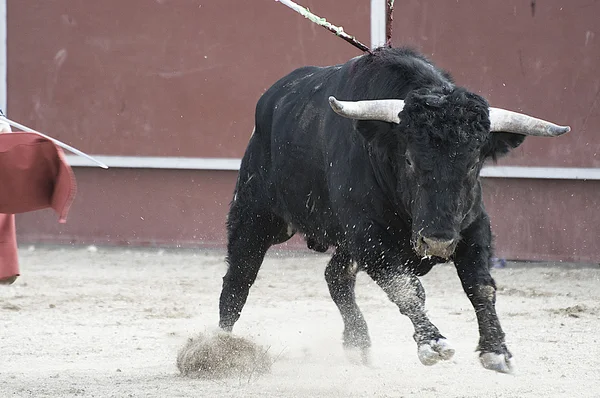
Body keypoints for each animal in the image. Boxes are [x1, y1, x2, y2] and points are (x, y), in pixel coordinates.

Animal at [218, 46, 568, 374]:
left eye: (473, 164)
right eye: (410, 159)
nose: (437, 242)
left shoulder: (473, 226)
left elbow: (480, 286)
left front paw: (496, 350)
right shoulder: (369, 238)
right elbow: (407, 289)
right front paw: (432, 343)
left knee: (336, 275)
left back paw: (358, 344)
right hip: (256, 215)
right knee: (238, 281)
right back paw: (219, 350)